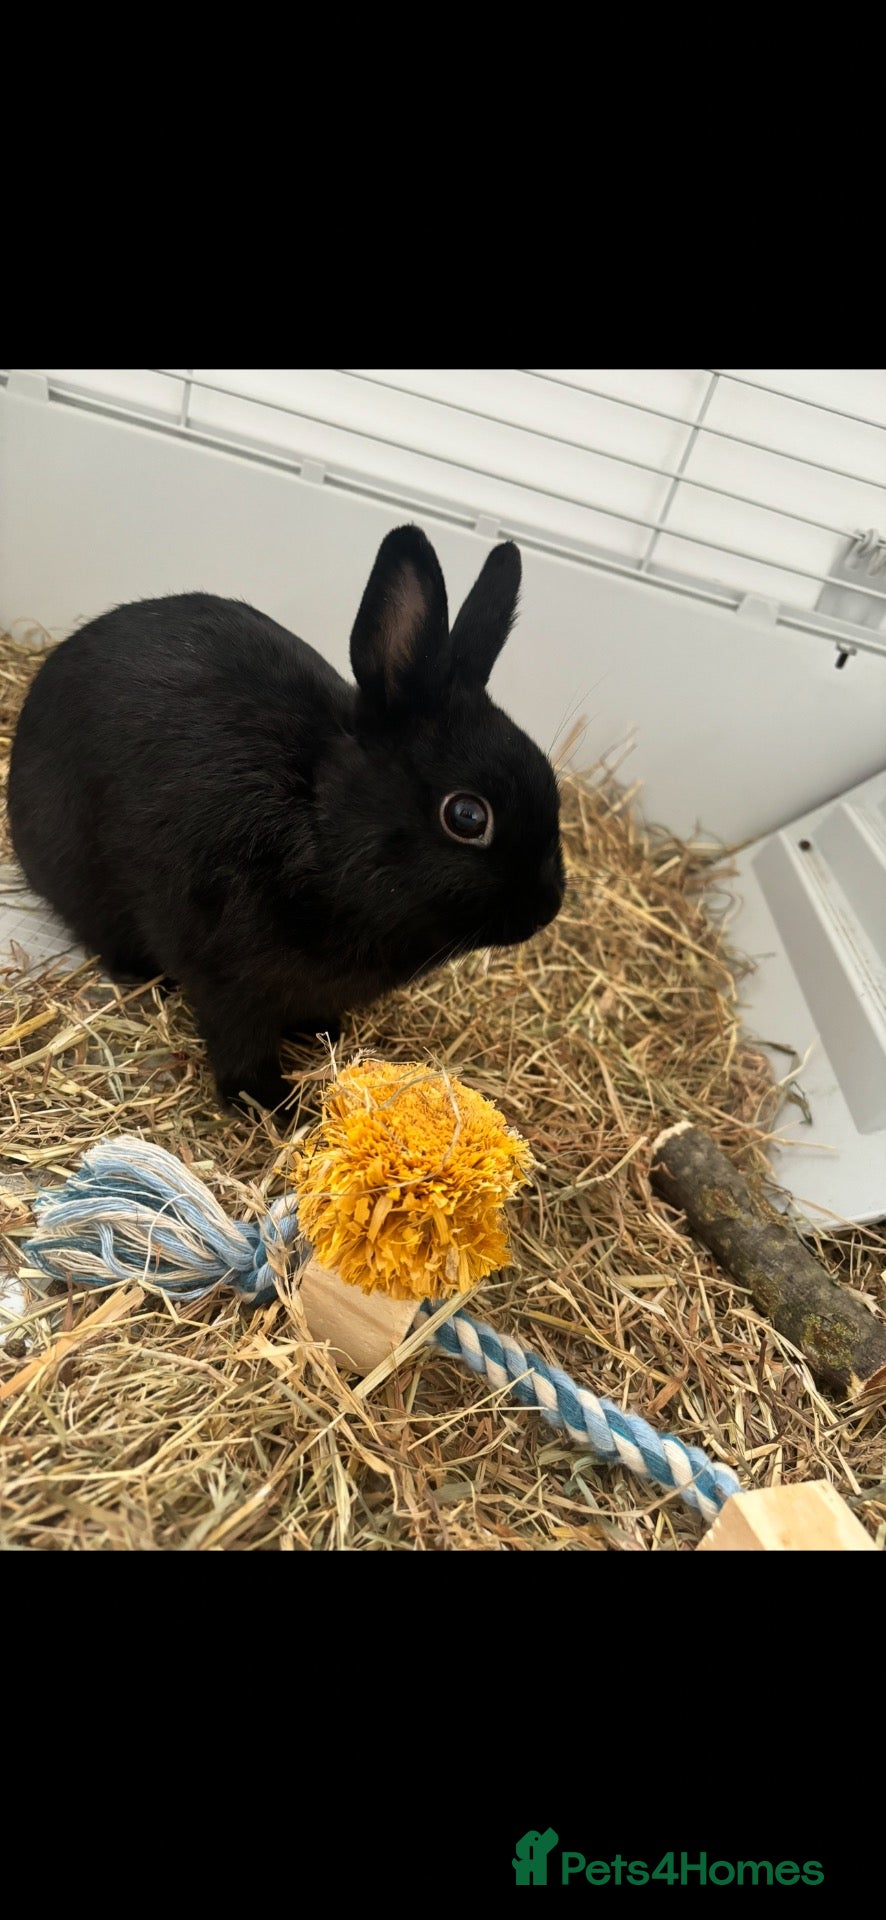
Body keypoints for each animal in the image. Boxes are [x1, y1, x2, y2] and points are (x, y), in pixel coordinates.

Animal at [8, 524, 566, 1110]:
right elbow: (241, 1044)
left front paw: (325, 1032)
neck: (319, 826)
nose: (547, 908)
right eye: (466, 816)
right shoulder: (227, 981)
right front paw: (269, 1106)